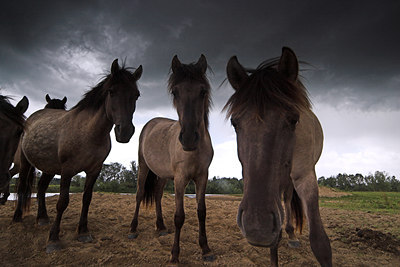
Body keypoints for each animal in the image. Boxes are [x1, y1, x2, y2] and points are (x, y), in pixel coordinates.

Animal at [12, 59, 143, 254]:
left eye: (136, 95)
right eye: (111, 91)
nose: (125, 131)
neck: (88, 132)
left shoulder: (94, 170)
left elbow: (87, 199)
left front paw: (83, 232)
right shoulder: (67, 170)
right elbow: (62, 202)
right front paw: (53, 239)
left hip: (50, 168)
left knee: (42, 187)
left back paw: (42, 218)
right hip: (26, 163)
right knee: (21, 187)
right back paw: (17, 217)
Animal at [130, 54, 214, 264]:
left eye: (202, 91)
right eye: (175, 92)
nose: (189, 138)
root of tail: (151, 122)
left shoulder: (202, 177)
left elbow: (201, 212)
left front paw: (206, 249)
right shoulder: (180, 179)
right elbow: (179, 216)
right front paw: (174, 255)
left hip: (162, 175)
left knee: (158, 195)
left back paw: (160, 227)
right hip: (143, 167)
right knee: (139, 193)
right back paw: (133, 229)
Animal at [225, 47, 332, 266]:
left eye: (293, 119)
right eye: (234, 122)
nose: (257, 225)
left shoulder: (306, 176)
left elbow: (320, 243)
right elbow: (274, 241)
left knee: (288, 198)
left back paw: (292, 235)